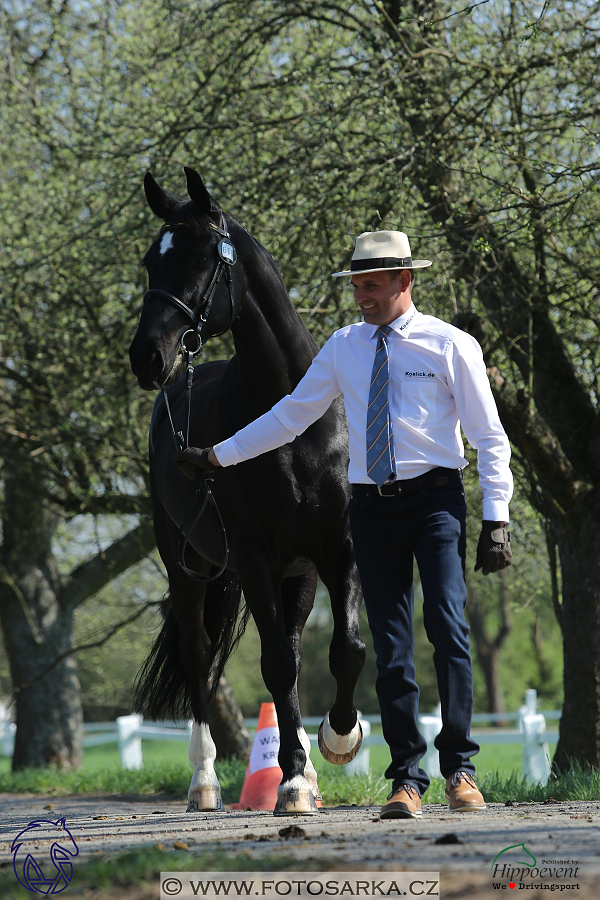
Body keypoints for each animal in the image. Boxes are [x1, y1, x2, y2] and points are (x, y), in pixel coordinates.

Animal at [129, 167, 364, 816]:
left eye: (201, 257)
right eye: (150, 261)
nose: (145, 357)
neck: (291, 422)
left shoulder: (337, 552)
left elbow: (344, 651)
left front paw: (337, 742)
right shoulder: (255, 559)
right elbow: (276, 666)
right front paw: (288, 782)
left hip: (297, 576)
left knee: (296, 648)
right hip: (185, 568)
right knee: (199, 655)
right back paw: (204, 782)